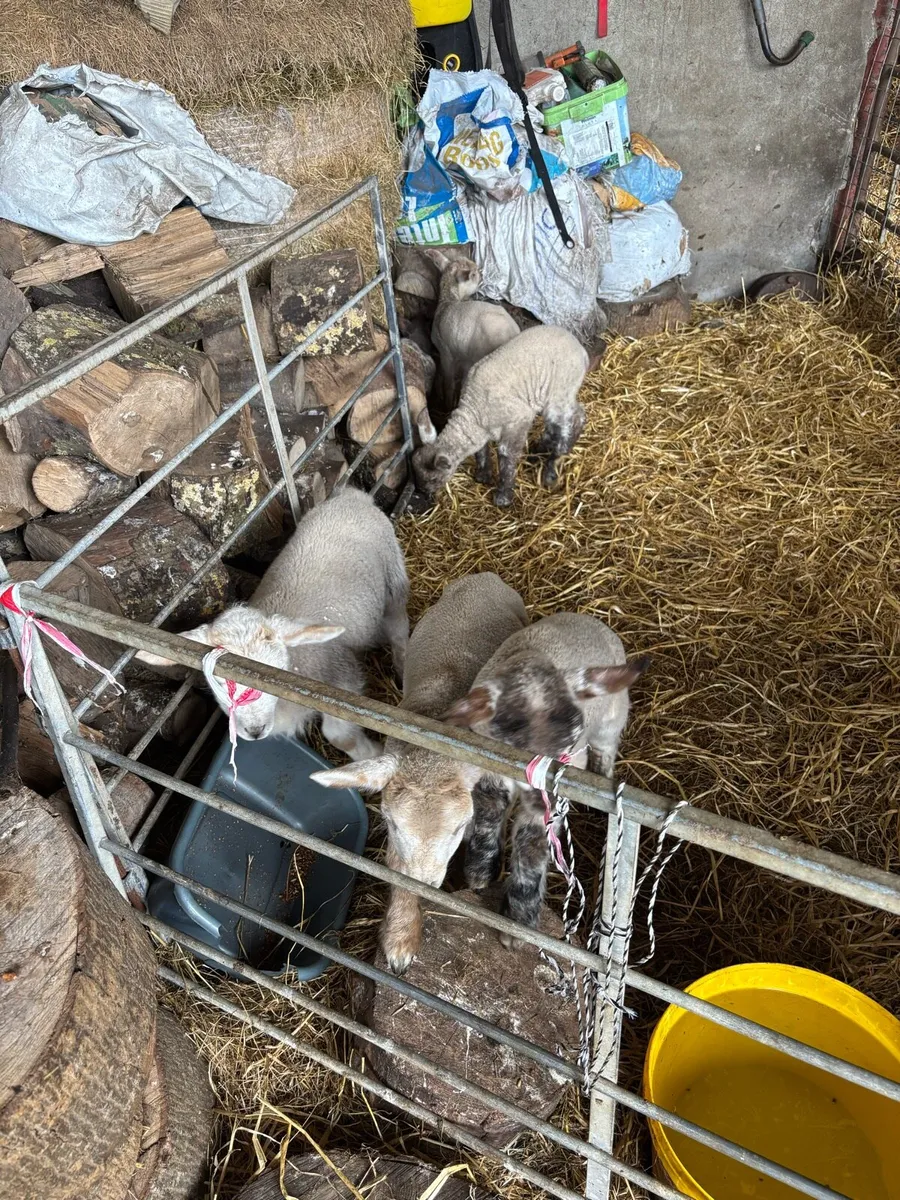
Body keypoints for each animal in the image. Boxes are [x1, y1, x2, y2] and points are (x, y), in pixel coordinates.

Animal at [136, 488, 409, 762]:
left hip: (393, 572)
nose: (255, 731)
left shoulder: (343, 677)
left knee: (398, 626)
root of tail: (352, 496)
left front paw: (375, 754)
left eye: (273, 672)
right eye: (221, 682)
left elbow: (340, 735)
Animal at [310, 572, 529, 973]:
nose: (426, 885)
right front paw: (401, 935)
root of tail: (484, 576)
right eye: (392, 824)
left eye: (460, 827)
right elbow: (396, 868)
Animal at [412, 324, 590, 507]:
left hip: (561, 392)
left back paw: (554, 465)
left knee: (575, 418)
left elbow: (506, 455)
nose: (423, 492)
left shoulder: (518, 421)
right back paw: (538, 451)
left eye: (433, 479)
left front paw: (503, 497)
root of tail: (581, 350)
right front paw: (483, 475)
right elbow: (481, 451)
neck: (474, 410)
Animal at [426, 252, 520, 410]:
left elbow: (449, 383)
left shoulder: (446, 353)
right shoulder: (461, 356)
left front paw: (448, 404)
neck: (449, 301)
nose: (482, 274)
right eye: (474, 274)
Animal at [442, 613, 649, 944]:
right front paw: (480, 871)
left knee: (605, 750)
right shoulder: (487, 760)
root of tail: (589, 618)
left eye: (573, 738)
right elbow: (489, 807)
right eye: (515, 745)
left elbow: (530, 843)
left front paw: (518, 922)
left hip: (611, 717)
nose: (549, 803)